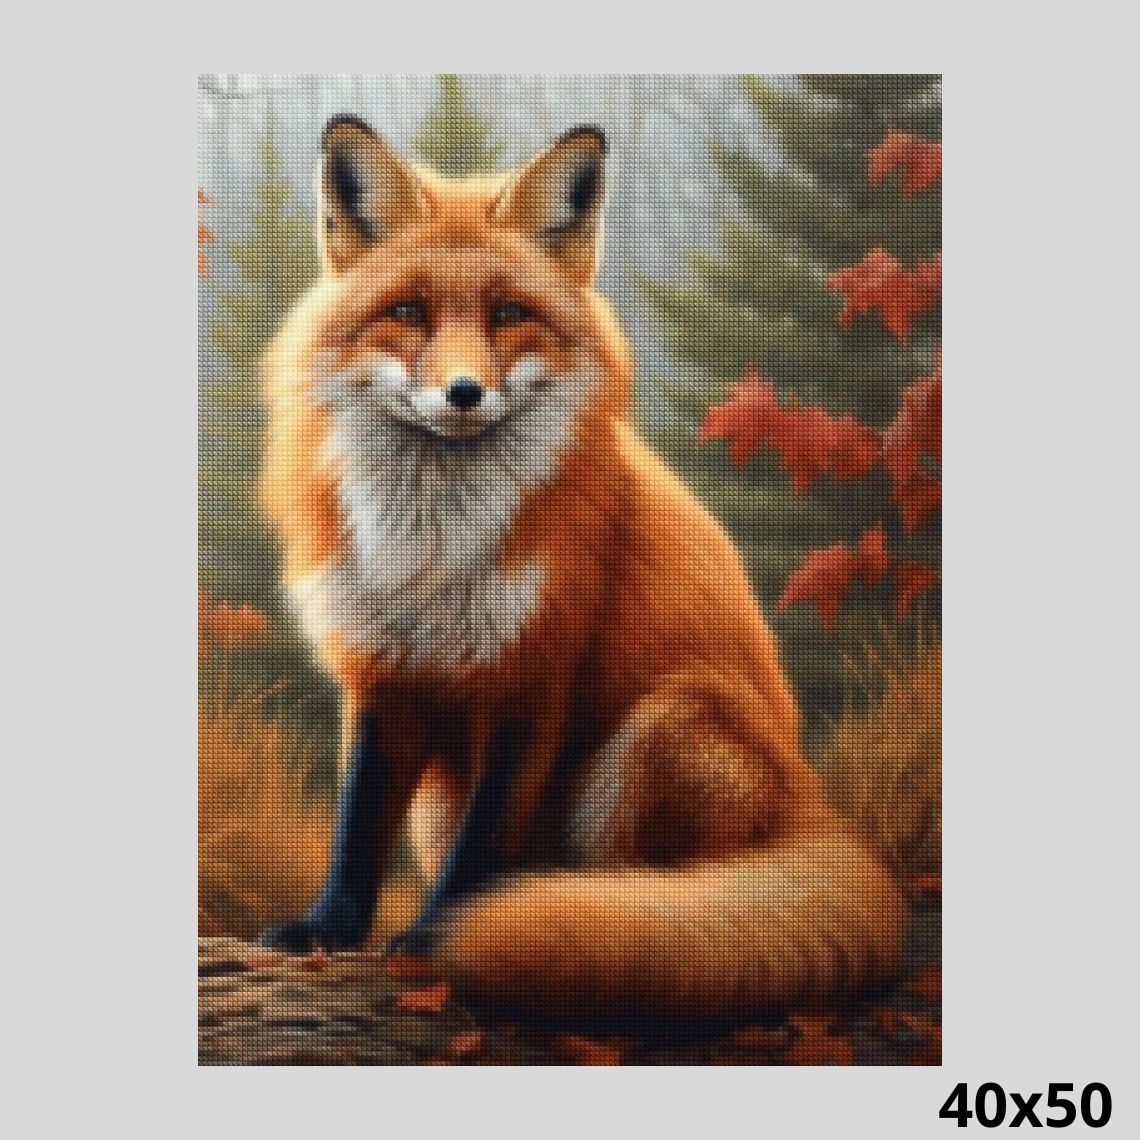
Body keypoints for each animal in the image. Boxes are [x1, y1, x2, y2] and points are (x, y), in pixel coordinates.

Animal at [255, 115, 906, 1018]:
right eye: (409, 312)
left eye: (508, 315)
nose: (464, 392)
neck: (432, 556)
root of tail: (819, 809)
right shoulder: (386, 679)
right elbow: (356, 828)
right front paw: (327, 929)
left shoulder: (535, 683)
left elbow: (480, 850)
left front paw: (435, 941)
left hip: (667, 723)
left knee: (648, 903)